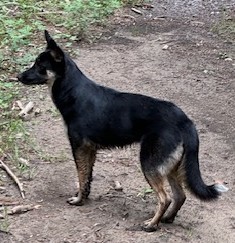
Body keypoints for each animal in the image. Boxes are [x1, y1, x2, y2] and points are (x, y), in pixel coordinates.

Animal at [17, 30, 228, 232]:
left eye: (39, 65)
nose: (17, 77)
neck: (73, 91)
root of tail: (185, 121)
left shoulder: (79, 147)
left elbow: (81, 177)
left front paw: (77, 200)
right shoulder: (90, 150)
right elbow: (87, 178)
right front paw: (83, 198)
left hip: (149, 164)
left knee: (165, 198)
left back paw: (151, 225)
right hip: (169, 167)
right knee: (180, 195)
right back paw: (167, 219)